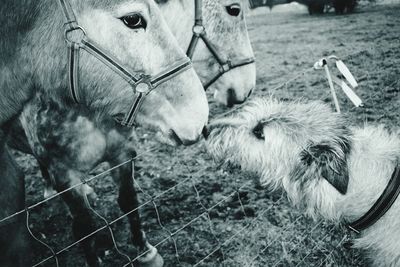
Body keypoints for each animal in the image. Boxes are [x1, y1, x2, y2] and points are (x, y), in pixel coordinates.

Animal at [0, 1, 209, 266]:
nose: (199, 119)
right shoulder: (65, 175)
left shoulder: (122, 154)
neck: (90, 115)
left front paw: (145, 252)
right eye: (133, 19)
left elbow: (129, 201)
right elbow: (85, 227)